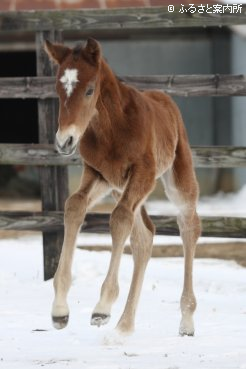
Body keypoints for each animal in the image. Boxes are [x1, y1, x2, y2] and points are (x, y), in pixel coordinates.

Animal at [44, 38, 202, 334]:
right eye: (58, 89)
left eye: (89, 90)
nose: (64, 141)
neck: (112, 128)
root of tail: (165, 99)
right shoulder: (98, 173)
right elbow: (74, 206)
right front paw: (59, 310)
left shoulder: (144, 173)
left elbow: (118, 220)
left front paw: (102, 307)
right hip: (119, 187)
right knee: (144, 235)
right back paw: (125, 326)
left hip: (176, 178)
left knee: (188, 226)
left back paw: (186, 321)